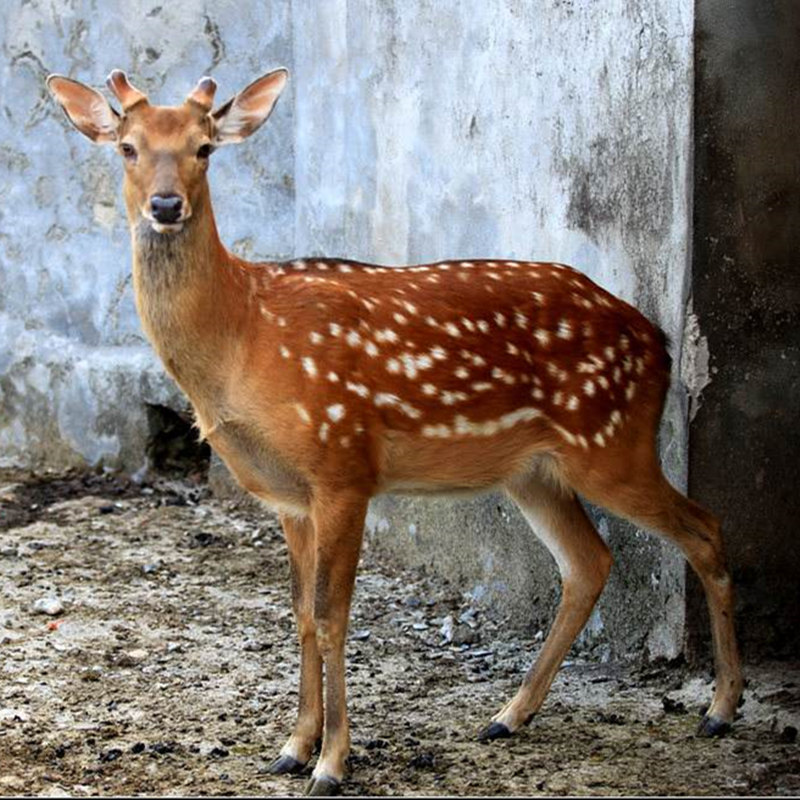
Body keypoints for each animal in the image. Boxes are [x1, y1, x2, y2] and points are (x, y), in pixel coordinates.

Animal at [45, 69, 744, 792]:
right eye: (126, 146)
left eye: (204, 147)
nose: (165, 205)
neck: (243, 337)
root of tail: (659, 341)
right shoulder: (288, 496)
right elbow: (299, 611)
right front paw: (293, 746)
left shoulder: (342, 464)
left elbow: (333, 614)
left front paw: (331, 762)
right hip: (533, 470)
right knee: (588, 561)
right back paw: (509, 715)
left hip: (612, 440)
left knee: (702, 528)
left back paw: (721, 708)